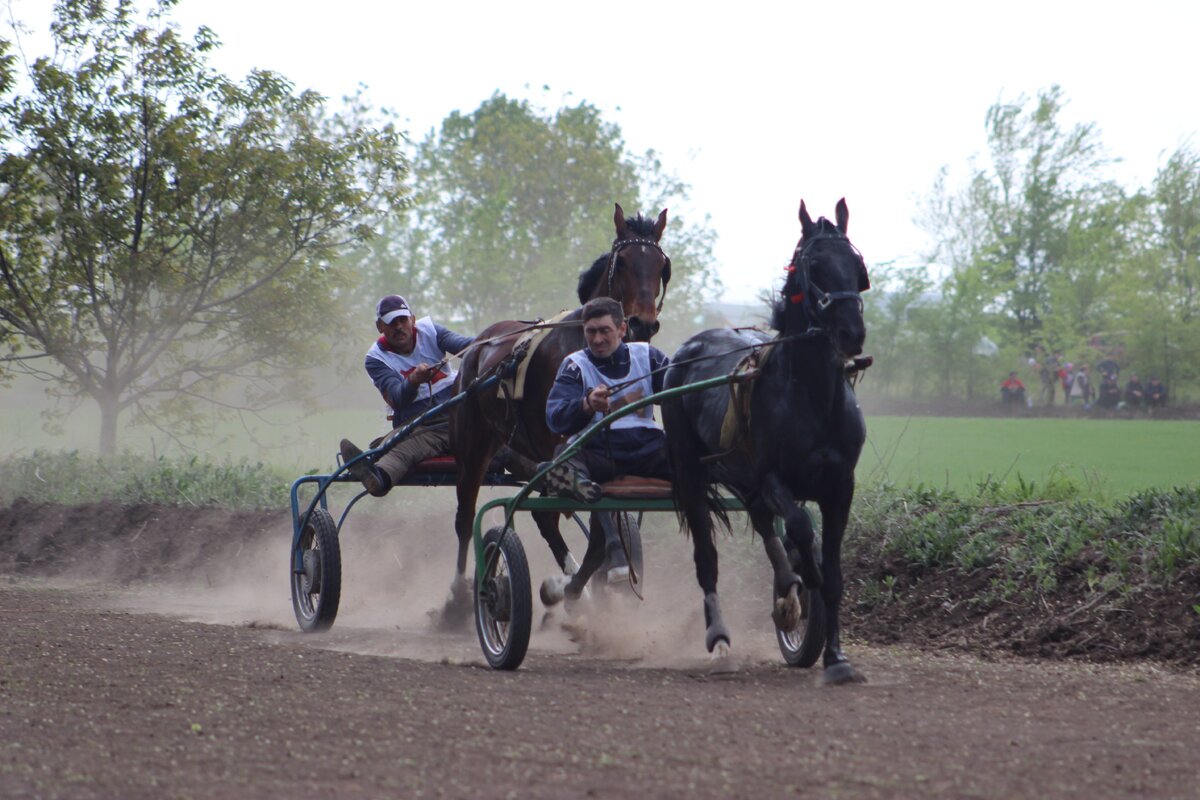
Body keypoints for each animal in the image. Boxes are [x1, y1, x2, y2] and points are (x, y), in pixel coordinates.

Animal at [444, 203, 676, 623]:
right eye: (623, 262)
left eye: (660, 265)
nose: (643, 322)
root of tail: (478, 345)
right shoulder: (566, 441)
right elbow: (595, 510)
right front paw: (605, 571)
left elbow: (598, 529)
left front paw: (581, 584)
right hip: (472, 446)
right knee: (465, 516)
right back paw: (457, 596)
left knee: (546, 518)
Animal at [662, 196, 868, 686]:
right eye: (815, 266)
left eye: (856, 265)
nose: (852, 333)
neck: (812, 396)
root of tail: (686, 350)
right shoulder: (774, 477)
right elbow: (800, 531)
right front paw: (803, 577)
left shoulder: (841, 486)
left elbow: (832, 573)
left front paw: (835, 656)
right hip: (692, 471)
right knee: (707, 555)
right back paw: (720, 634)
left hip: (743, 476)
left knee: (759, 519)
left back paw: (787, 590)